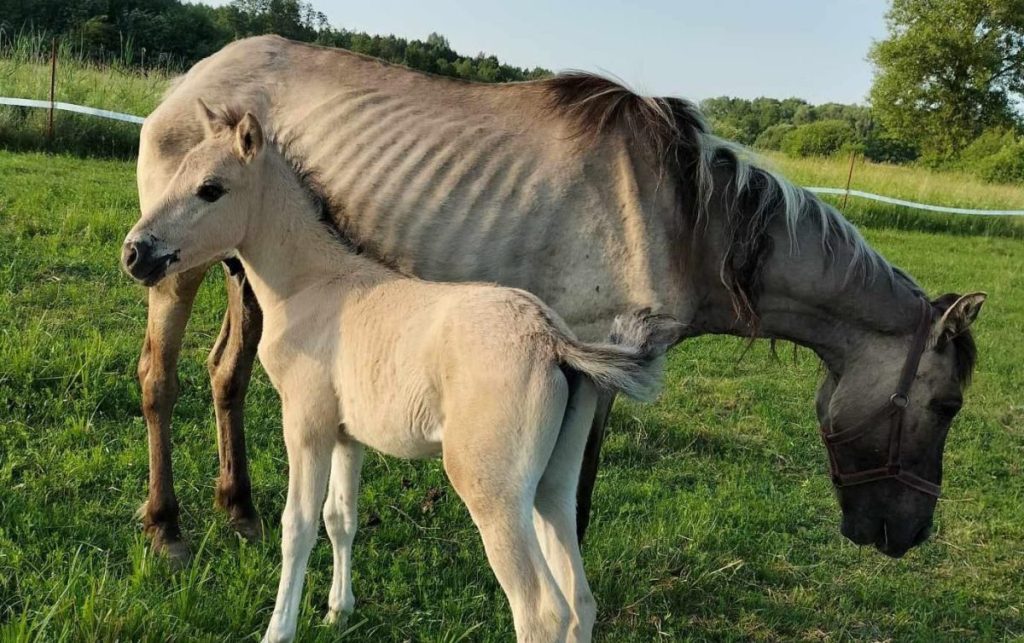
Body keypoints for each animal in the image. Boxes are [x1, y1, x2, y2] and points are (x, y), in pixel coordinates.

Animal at [123, 105, 679, 643]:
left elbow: (298, 526)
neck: (313, 284)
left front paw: (279, 630)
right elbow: (340, 518)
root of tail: (553, 339)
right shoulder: (347, 433)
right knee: (581, 602)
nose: (136, 253)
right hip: (553, 486)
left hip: (494, 492)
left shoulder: (306, 423)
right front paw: (338, 612)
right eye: (177, 174)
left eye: (210, 189)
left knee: (543, 613)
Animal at [128, 35, 983, 561]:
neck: (683, 215)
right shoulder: (597, 361)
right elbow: (575, 495)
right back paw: (166, 527)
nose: (907, 534)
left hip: (247, 273)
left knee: (226, 375)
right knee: (159, 379)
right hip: (173, 267)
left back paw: (239, 509)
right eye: (946, 406)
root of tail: (194, 76)